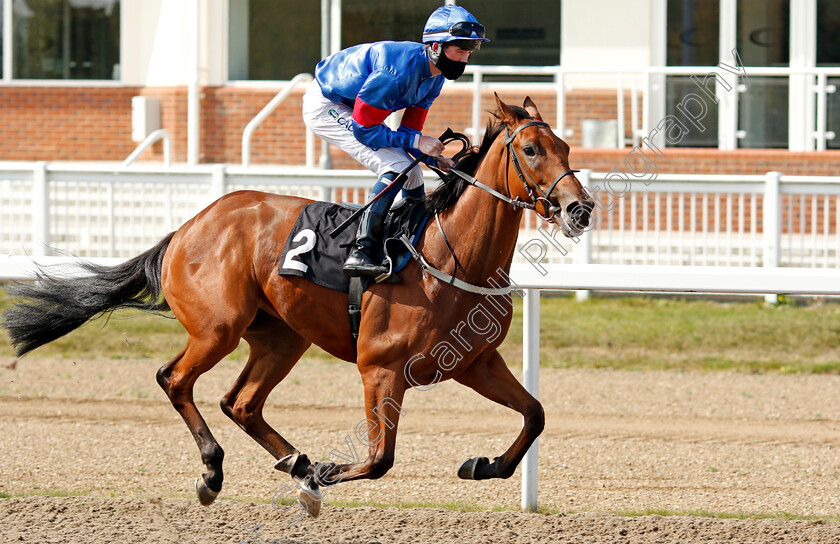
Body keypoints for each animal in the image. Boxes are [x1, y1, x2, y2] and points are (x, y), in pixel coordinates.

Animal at [1, 95, 592, 516]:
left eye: (565, 146)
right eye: (532, 150)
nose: (579, 208)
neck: (450, 255)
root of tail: (189, 227)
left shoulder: (476, 363)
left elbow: (535, 414)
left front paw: (482, 464)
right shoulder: (379, 368)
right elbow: (379, 459)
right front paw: (325, 475)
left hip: (283, 336)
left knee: (240, 402)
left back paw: (296, 460)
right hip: (217, 328)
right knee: (175, 380)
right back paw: (215, 472)